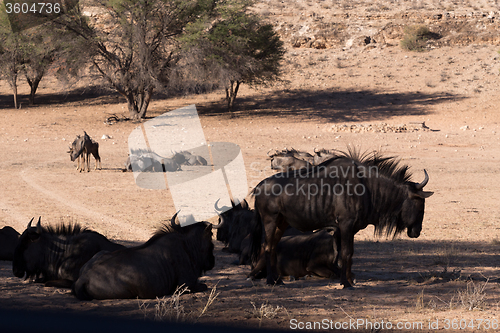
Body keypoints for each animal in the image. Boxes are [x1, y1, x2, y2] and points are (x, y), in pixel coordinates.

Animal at [73, 213, 214, 300]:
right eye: (211, 235)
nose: (212, 261)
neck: (187, 245)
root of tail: (84, 277)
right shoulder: (185, 286)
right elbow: (205, 286)